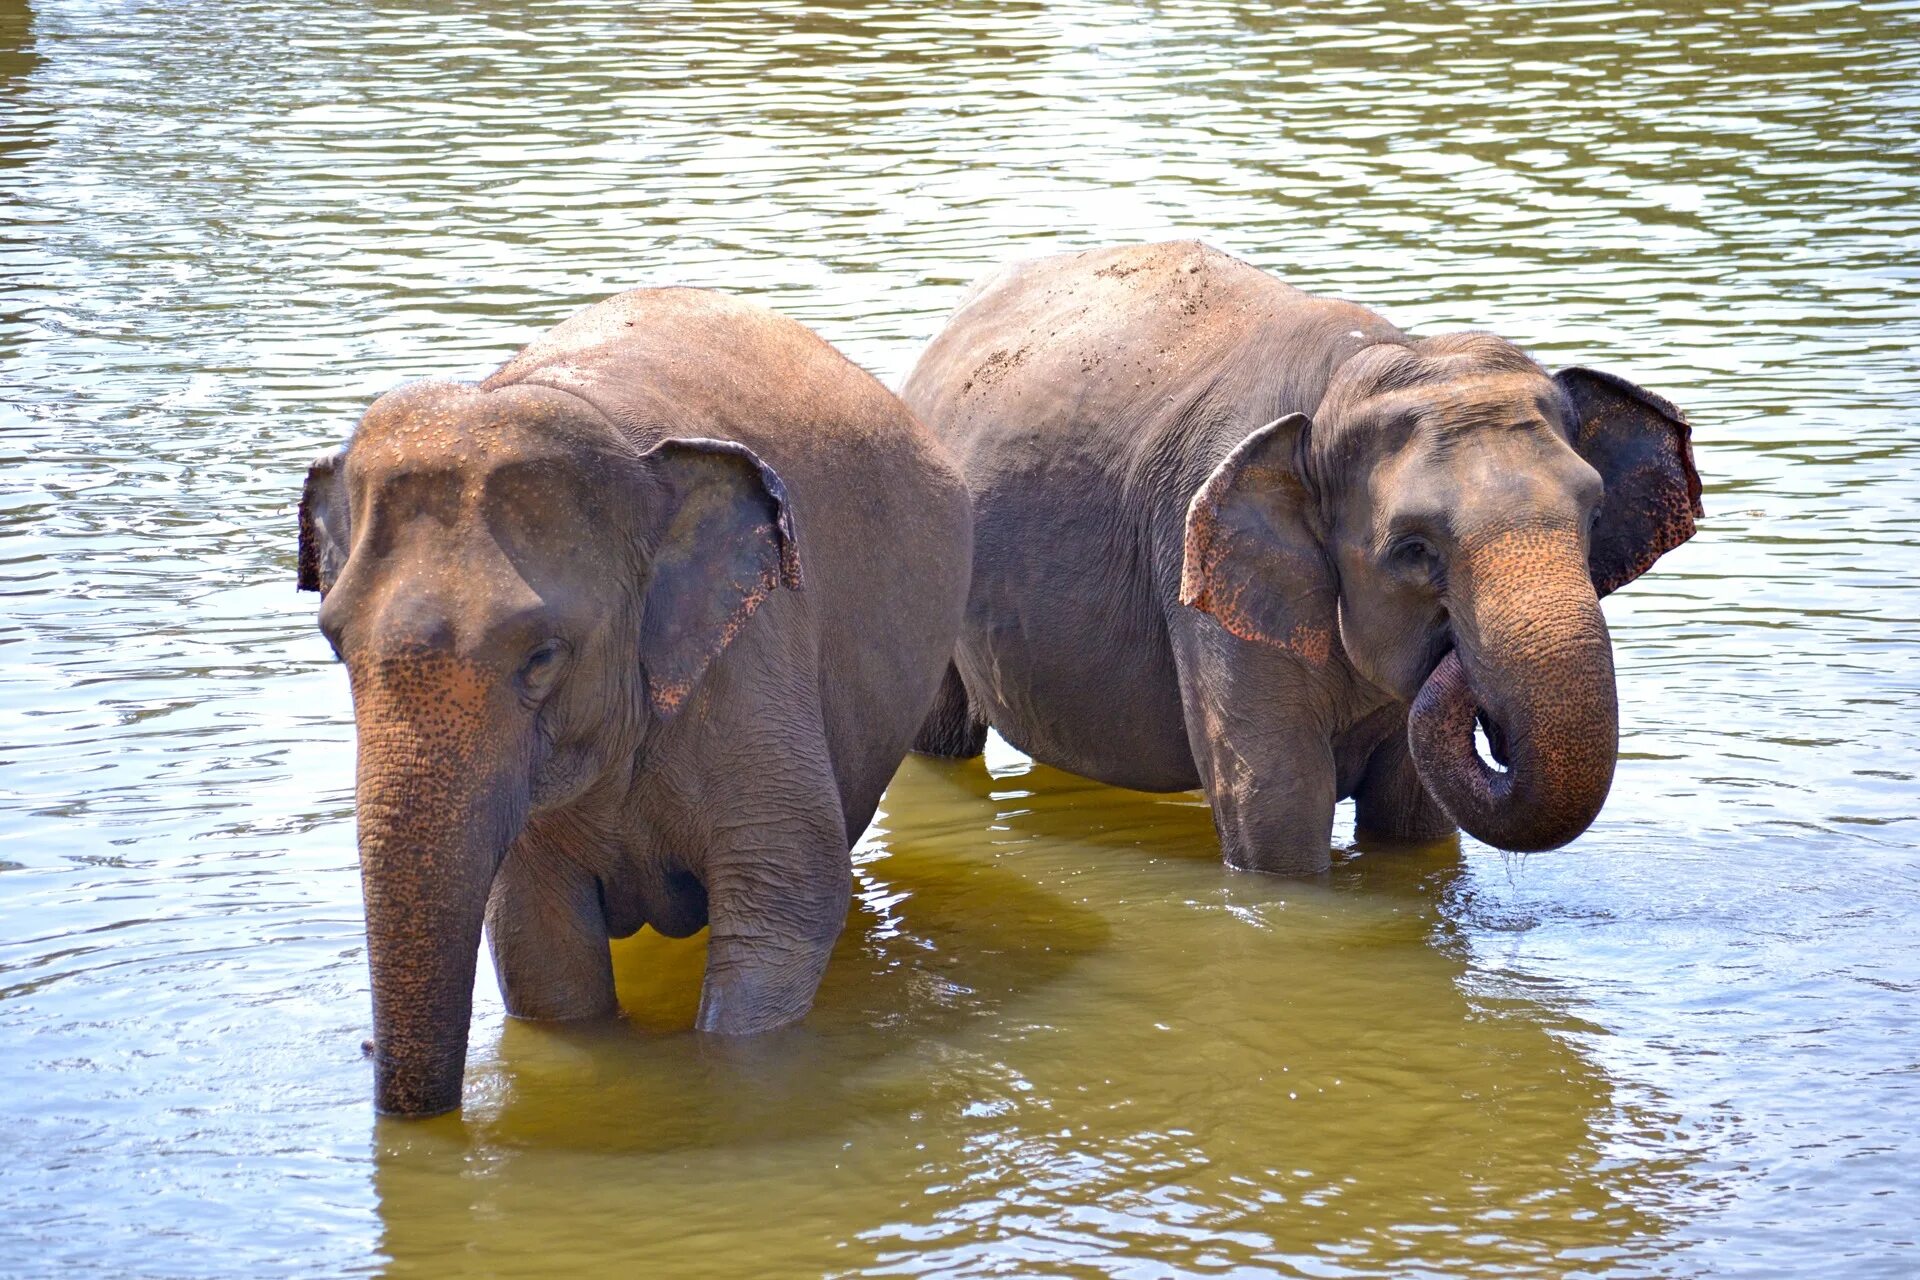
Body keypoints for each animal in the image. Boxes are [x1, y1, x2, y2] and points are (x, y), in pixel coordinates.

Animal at [299, 285, 975, 1113]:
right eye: (334, 642)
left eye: (542, 657)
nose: (365, 1051)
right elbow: (535, 935)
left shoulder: (754, 658)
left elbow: (790, 892)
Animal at [906, 239, 1704, 875]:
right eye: (1414, 549)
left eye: (1593, 517)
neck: (1353, 374)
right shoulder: (1202, 571)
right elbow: (1277, 802)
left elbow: (1412, 813)